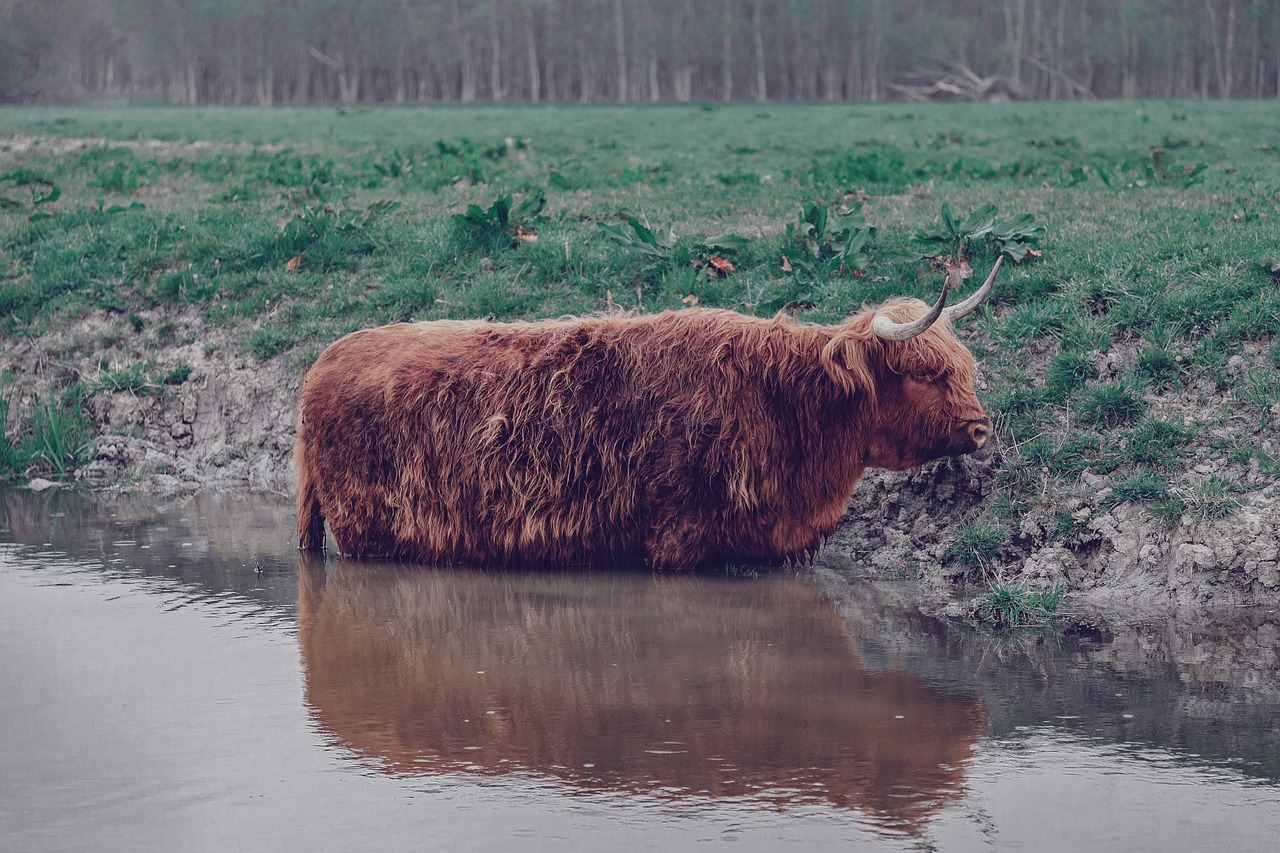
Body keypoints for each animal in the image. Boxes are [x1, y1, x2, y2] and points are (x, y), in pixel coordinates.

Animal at [296, 257, 998, 563]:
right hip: (368, 533)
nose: (981, 427)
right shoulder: (677, 542)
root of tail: (322, 362)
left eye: (966, 366)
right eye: (925, 372)